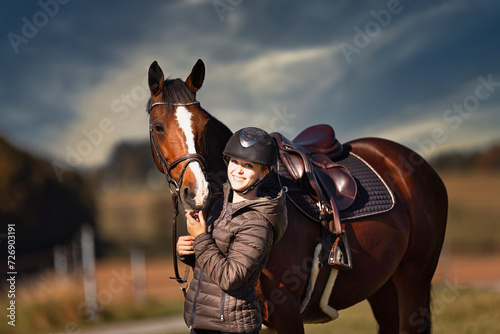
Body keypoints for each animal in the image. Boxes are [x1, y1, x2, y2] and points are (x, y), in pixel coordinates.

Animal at [146, 58, 448, 332]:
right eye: (158, 127)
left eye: (204, 124)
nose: (198, 191)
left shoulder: (286, 311)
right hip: (383, 288)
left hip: (413, 280)